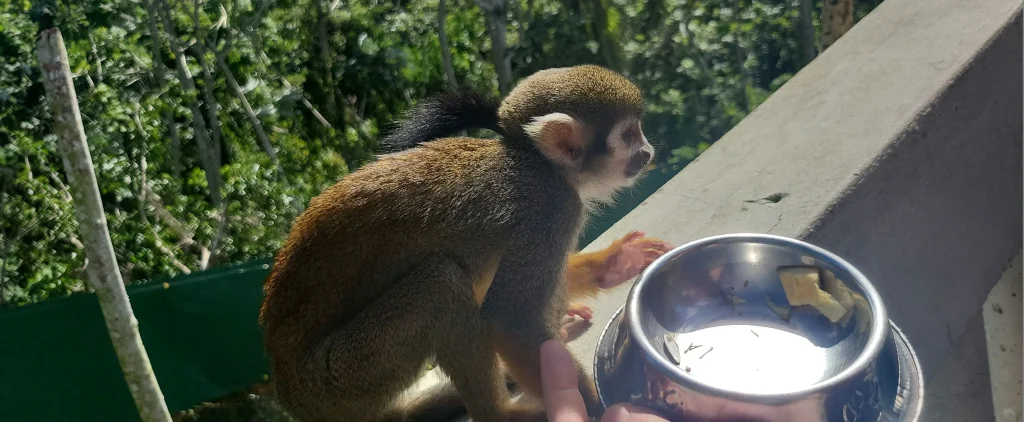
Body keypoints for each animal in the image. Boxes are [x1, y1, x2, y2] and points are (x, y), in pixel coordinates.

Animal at [259, 65, 663, 422]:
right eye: (630, 135)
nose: (648, 151)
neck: (538, 163)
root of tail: (289, 393)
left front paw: (615, 263)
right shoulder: (552, 209)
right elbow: (511, 319)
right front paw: (597, 406)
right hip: (341, 379)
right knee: (441, 284)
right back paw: (500, 413)